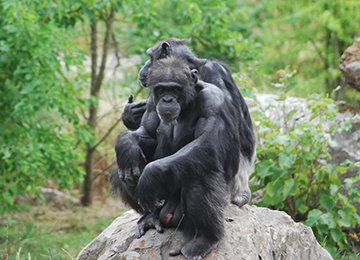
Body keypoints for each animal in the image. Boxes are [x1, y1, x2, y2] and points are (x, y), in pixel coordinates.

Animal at [111, 57, 243, 260]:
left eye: (174, 89)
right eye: (160, 89)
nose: (167, 99)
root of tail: (166, 216)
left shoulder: (213, 102)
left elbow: (206, 142)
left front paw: (149, 178)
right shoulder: (151, 103)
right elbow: (146, 133)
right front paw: (126, 146)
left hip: (190, 215)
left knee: (199, 176)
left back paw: (205, 240)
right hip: (161, 205)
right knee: (125, 172)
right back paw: (150, 217)